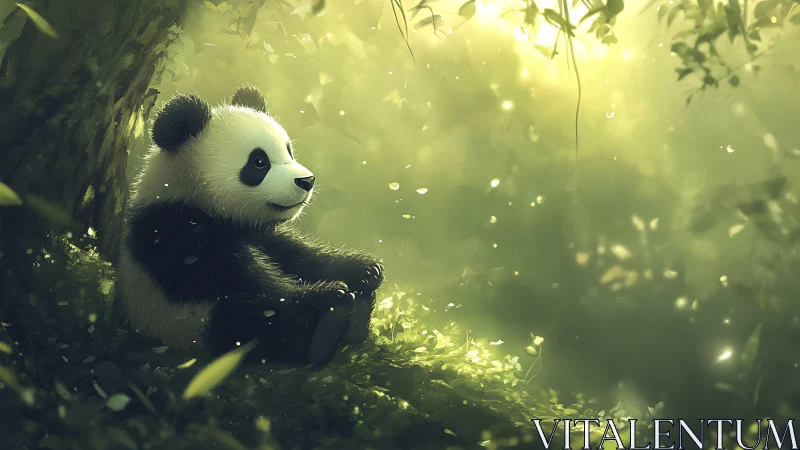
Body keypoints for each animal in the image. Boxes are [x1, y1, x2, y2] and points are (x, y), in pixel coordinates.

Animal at [118, 85, 384, 367]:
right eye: (259, 162)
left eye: (289, 151)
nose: (307, 181)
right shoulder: (173, 231)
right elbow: (239, 279)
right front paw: (332, 293)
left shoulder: (257, 231)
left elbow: (296, 255)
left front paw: (364, 268)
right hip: (183, 321)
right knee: (253, 322)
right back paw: (332, 314)